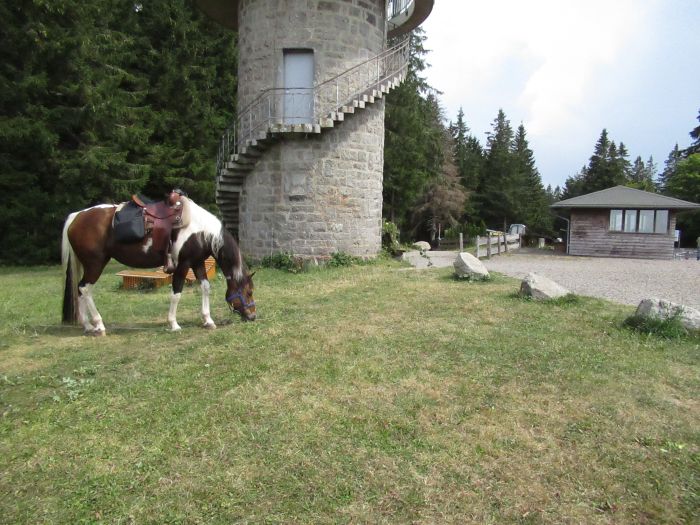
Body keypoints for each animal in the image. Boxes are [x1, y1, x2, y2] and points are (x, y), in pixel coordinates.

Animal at [60, 194, 258, 334]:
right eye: (249, 292)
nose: (252, 316)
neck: (200, 231)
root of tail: (76, 216)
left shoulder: (197, 262)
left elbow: (205, 288)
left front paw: (208, 320)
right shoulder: (183, 264)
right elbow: (176, 293)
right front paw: (174, 324)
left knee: (80, 290)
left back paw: (87, 325)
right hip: (96, 264)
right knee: (85, 288)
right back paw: (99, 325)